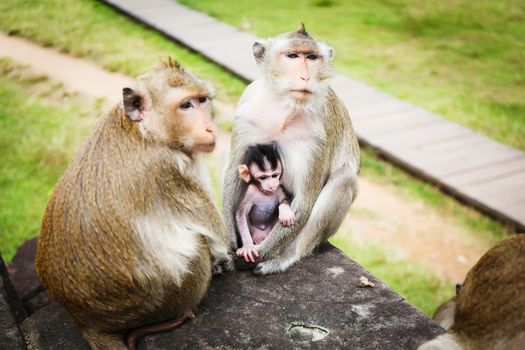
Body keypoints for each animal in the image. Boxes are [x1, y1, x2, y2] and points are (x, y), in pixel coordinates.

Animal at [35, 58, 232, 350]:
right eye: (186, 105)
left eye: (202, 100)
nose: (210, 128)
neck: (142, 131)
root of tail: (85, 321)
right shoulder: (173, 170)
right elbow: (214, 232)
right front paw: (222, 257)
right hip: (162, 301)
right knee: (194, 246)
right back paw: (182, 313)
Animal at [221, 23, 360, 276]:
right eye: (293, 56)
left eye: (311, 57)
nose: (305, 76)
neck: (285, 107)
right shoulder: (247, 112)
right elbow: (235, 172)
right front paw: (229, 243)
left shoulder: (319, 132)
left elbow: (305, 202)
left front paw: (258, 255)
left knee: (344, 178)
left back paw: (284, 257)